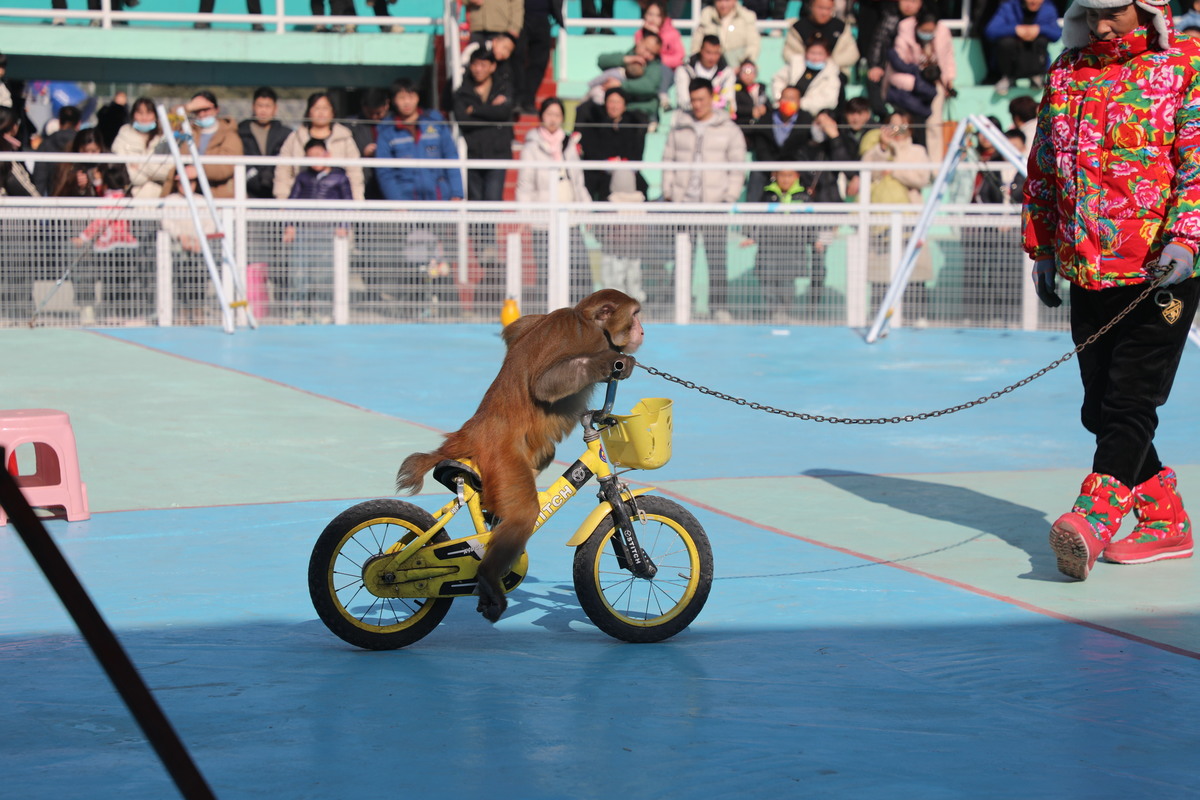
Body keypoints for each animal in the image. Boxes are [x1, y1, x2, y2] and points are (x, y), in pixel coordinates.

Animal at [398, 291, 648, 623]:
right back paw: (488, 576)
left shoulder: (532, 323)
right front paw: (615, 363)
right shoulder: (587, 337)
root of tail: (471, 433)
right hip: (503, 460)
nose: (642, 331)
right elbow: (546, 383)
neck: (586, 318)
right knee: (524, 512)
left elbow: (514, 331)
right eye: (634, 315)